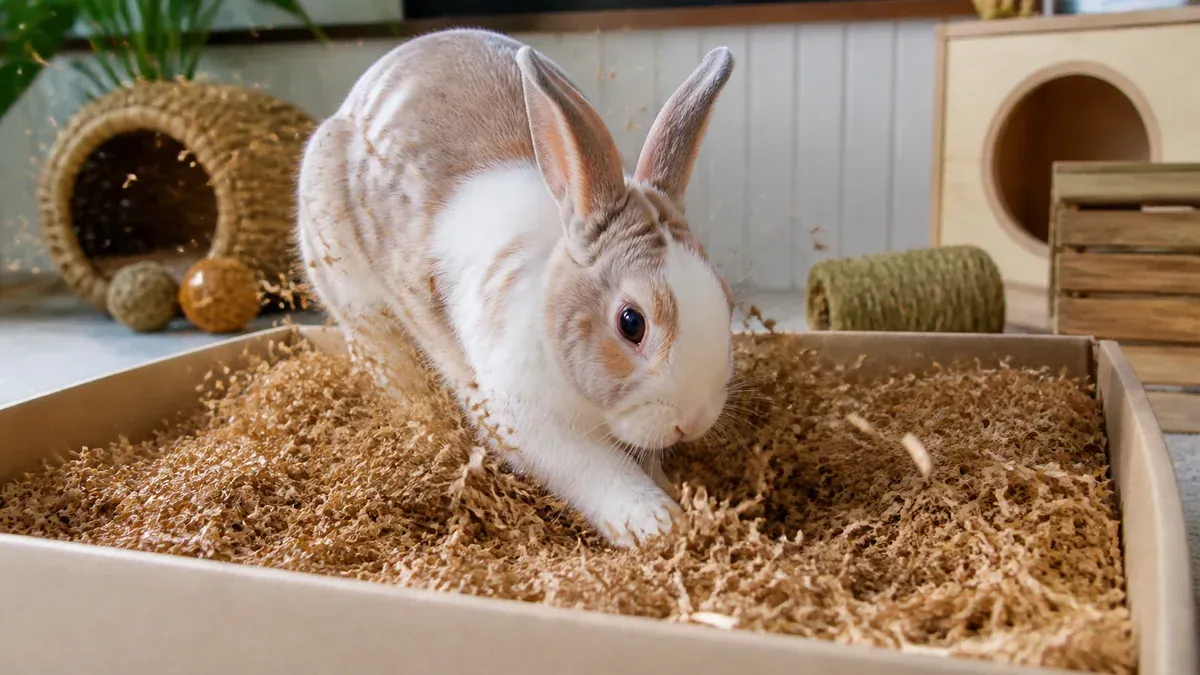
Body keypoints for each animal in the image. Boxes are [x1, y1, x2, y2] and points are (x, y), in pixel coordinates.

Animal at [295, 28, 736, 548]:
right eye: (632, 323)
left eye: (726, 299)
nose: (694, 419)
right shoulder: (524, 419)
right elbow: (596, 470)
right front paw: (658, 524)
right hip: (360, 305)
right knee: (391, 369)